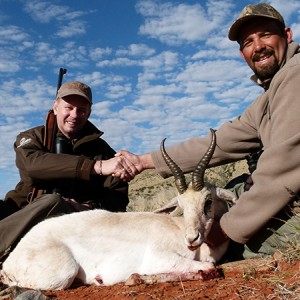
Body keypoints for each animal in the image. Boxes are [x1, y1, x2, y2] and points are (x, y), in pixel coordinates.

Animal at [1, 129, 237, 290]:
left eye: (207, 201)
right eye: (182, 205)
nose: (191, 238)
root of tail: (13, 258)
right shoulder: (158, 258)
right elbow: (209, 268)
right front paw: (134, 277)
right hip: (63, 273)